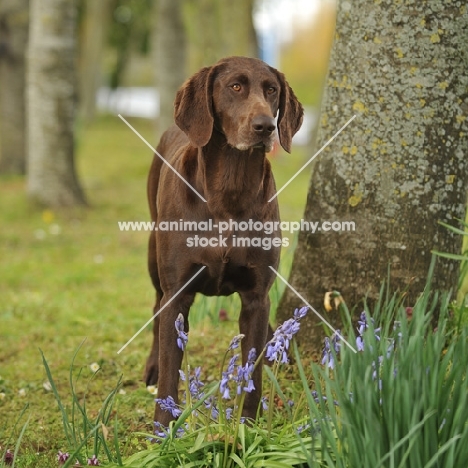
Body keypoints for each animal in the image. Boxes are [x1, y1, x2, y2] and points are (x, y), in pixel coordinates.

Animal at [146, 56, 304, 426]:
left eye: (271, 90)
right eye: (235, 86)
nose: (265, 126)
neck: (229, 190)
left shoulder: (257, 295)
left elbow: (252, 367)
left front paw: (248, 424)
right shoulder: (177, 293)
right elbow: (171, 371)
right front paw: (163, 428)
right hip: (153, 255)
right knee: (156, 308)